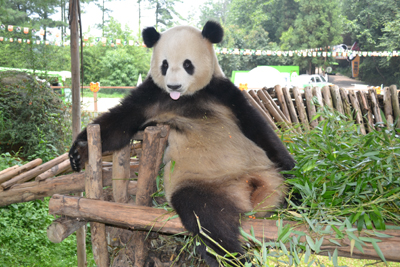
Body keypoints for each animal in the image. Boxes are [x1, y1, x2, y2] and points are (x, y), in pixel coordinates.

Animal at [68, 21, 294, 267]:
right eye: (165, 65)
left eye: (188, 64)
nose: (173, 86)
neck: (185, 99)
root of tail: (251, 193)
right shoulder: (152, 96)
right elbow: (119, 123)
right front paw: (78, 152)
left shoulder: (222, 92)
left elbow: (256, 126)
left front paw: (290, 163)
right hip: (203, 183)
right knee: (207, 218)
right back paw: (232, 256)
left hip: (268, 174)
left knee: (291, 192)